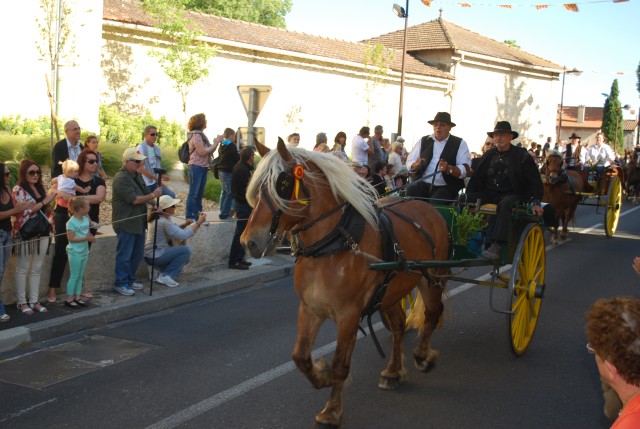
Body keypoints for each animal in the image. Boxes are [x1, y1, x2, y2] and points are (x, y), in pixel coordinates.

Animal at [241, 140, 450, 428]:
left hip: (432, 279)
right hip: (391, 291)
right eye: (257, 187)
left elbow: (341, 363)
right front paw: (322, 374)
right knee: (398, 326)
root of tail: (428, 207)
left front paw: (331, 409)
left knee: (432, 314)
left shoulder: (348, 314)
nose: (248, 242)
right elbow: (301, 357)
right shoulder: (310, 309)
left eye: (281, 185)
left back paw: (422, 356)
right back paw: (393, 372)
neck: (333, 245)